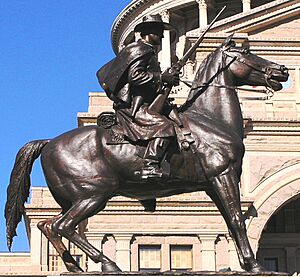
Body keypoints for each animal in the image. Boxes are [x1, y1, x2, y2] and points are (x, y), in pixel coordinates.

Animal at [5, 36, 288, 272]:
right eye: (246, 53)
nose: (282, 70)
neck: (211, 119)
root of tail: (49, 142)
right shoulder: (223, 175)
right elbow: (238, 220)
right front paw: (254, 265)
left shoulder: (212, 184)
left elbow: (230, 222)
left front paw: (246, 264)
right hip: (94, 195)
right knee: (62, 226)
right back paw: (107, 264)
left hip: (75, 198)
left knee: (48, 225)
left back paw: (74, 265)